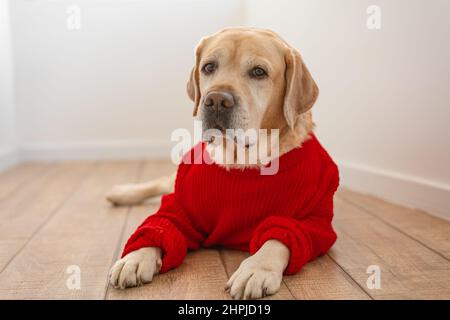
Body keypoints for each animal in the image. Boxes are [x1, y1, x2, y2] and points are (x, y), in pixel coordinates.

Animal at [106, 27, 338, 300]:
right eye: (209, 67)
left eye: (258, 72)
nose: (216, 100)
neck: (241, 161)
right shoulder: (180, 206)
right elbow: (160, 224)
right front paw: (135, 258)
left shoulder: (313, 221)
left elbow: (278, 238)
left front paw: (257, 268)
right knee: (162, 183)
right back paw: (122, 193)